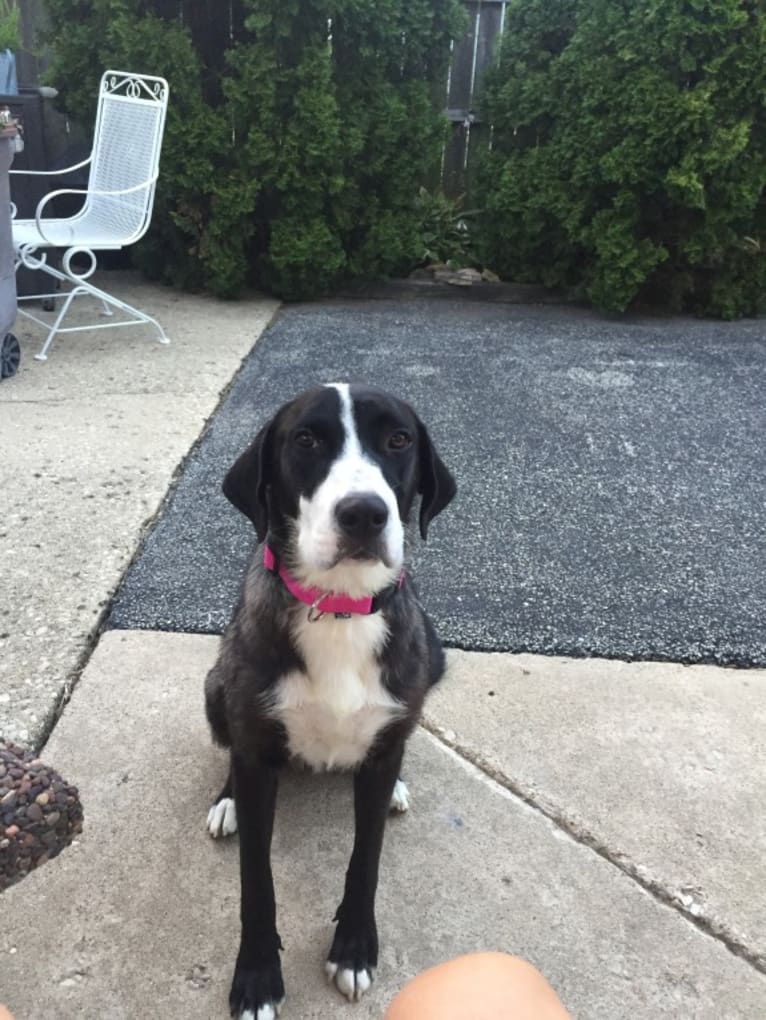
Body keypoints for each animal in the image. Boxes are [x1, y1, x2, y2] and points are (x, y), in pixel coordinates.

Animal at [203, 383, 454, 1020]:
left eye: (399, 439)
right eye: (306, 440)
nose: (364, 513)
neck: (339, 609)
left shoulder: (384, 739)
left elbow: (365, 860)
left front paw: (354, 948)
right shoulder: (256, 748)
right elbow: (256, 883)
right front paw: (257, 975)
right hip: (215, 688)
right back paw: (226, 801)